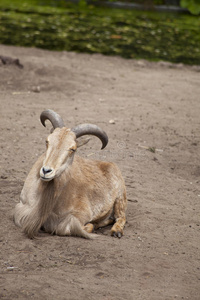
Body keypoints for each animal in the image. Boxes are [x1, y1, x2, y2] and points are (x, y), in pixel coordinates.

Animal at [13, 110, 126, 239]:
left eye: (73, 149)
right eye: (47, 141)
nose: (46, 171)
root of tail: (110, 164)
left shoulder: (81, 214)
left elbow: (65, 228)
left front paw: (91, 226)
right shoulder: (22, 208)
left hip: (120, 197)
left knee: (121, 217)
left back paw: (116, 231)